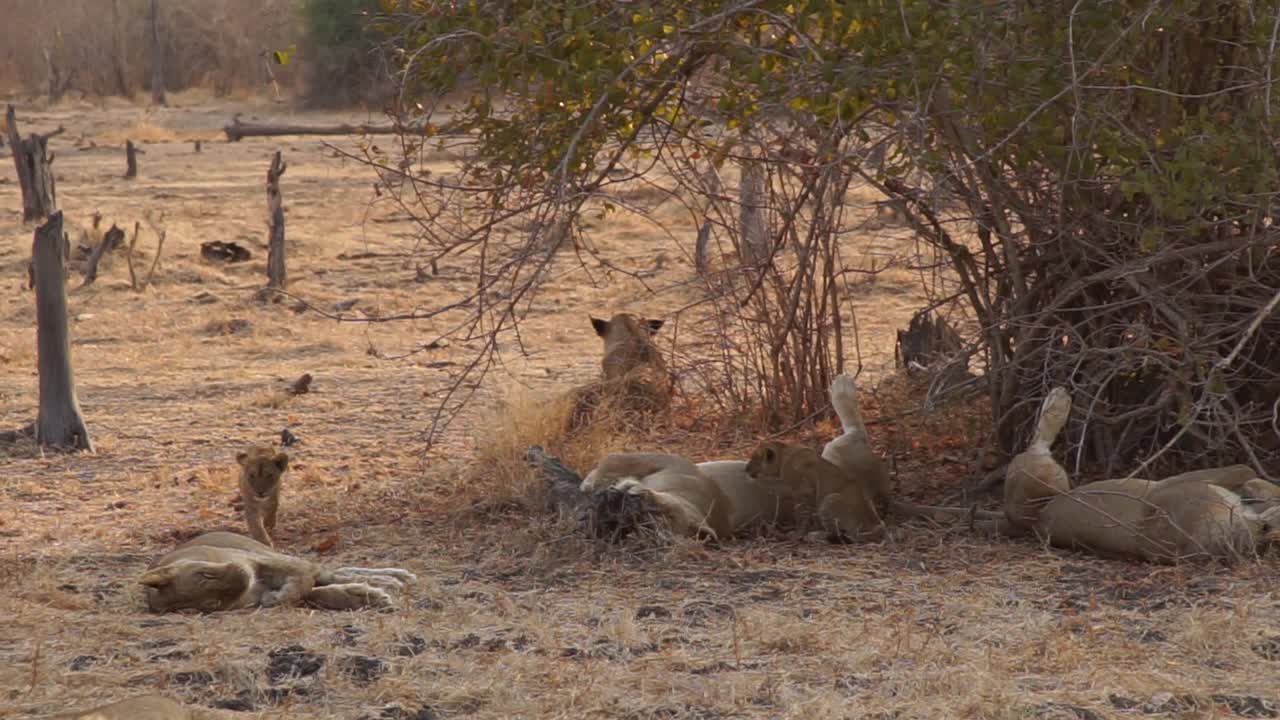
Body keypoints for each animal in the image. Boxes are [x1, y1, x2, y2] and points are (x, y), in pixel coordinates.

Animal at [140, 530, 412, 607]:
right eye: (212, 603)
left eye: (205, 575)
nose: (241, 576)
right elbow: (310, 593)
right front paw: (363, 596)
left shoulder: (264, 561)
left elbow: (302, 584)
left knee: (331, 571)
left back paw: (394, 578)